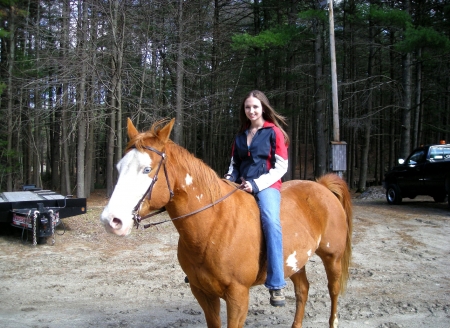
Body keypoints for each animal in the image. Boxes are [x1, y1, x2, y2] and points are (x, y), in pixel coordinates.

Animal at [100, 118, 354, 328]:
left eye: (147, 169)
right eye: (119, 167)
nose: (111, 220)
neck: (214, 225)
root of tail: (321, 186)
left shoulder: (238, 296)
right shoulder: (203, 293)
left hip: (332, 257)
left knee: (333, 291)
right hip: (294, 262)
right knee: (302, 290)